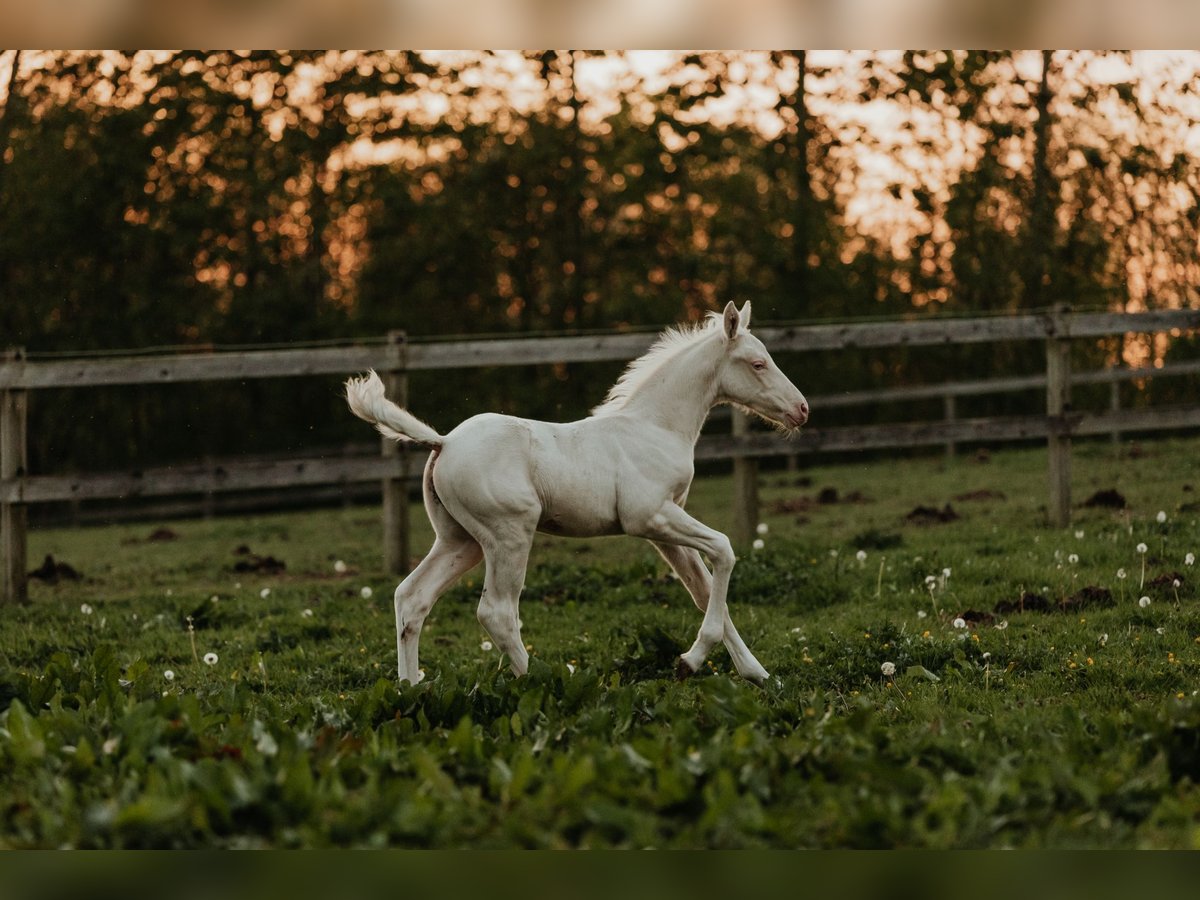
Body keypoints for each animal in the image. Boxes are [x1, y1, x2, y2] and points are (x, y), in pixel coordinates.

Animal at [350, 300, 811, 686]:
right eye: (758, 363)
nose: (802, 409)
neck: (655, 428)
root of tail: (443, 442)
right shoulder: (650, 518)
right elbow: (725, 550)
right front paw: (691, 661)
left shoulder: (667, 529)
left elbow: (703, 590)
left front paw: (757, 674)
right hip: (508, 535)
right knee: (497, 612)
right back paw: (544, 680)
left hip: (460, 541)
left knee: (411, 598)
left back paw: (409, 689)